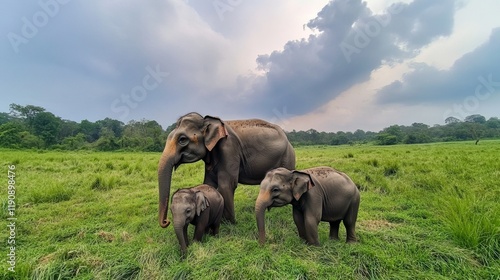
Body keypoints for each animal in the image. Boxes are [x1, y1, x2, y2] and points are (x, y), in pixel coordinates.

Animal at [158, 113, 294, 228]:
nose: (166, 221)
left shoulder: (229, 149)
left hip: (287, 157)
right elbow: (208, 184)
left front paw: (229, 224)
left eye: (182, 139)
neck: (208, 120)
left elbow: (226, 185)